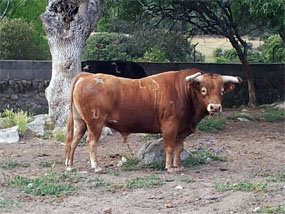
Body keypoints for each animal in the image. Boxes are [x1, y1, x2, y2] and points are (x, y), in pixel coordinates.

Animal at [63, 68, 241, 172]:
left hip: (80, 122)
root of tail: (88, 76)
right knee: (91, 142)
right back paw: (96, 166)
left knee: (73, 141)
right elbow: (169, 147)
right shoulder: (170, 125)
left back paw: (70, 165)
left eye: (222, 91)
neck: (183, 91)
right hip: (95, 123)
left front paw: (178, 165)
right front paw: (169, 167)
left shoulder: (182, 130)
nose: (215, 107)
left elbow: (179, 148)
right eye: (203, 90)